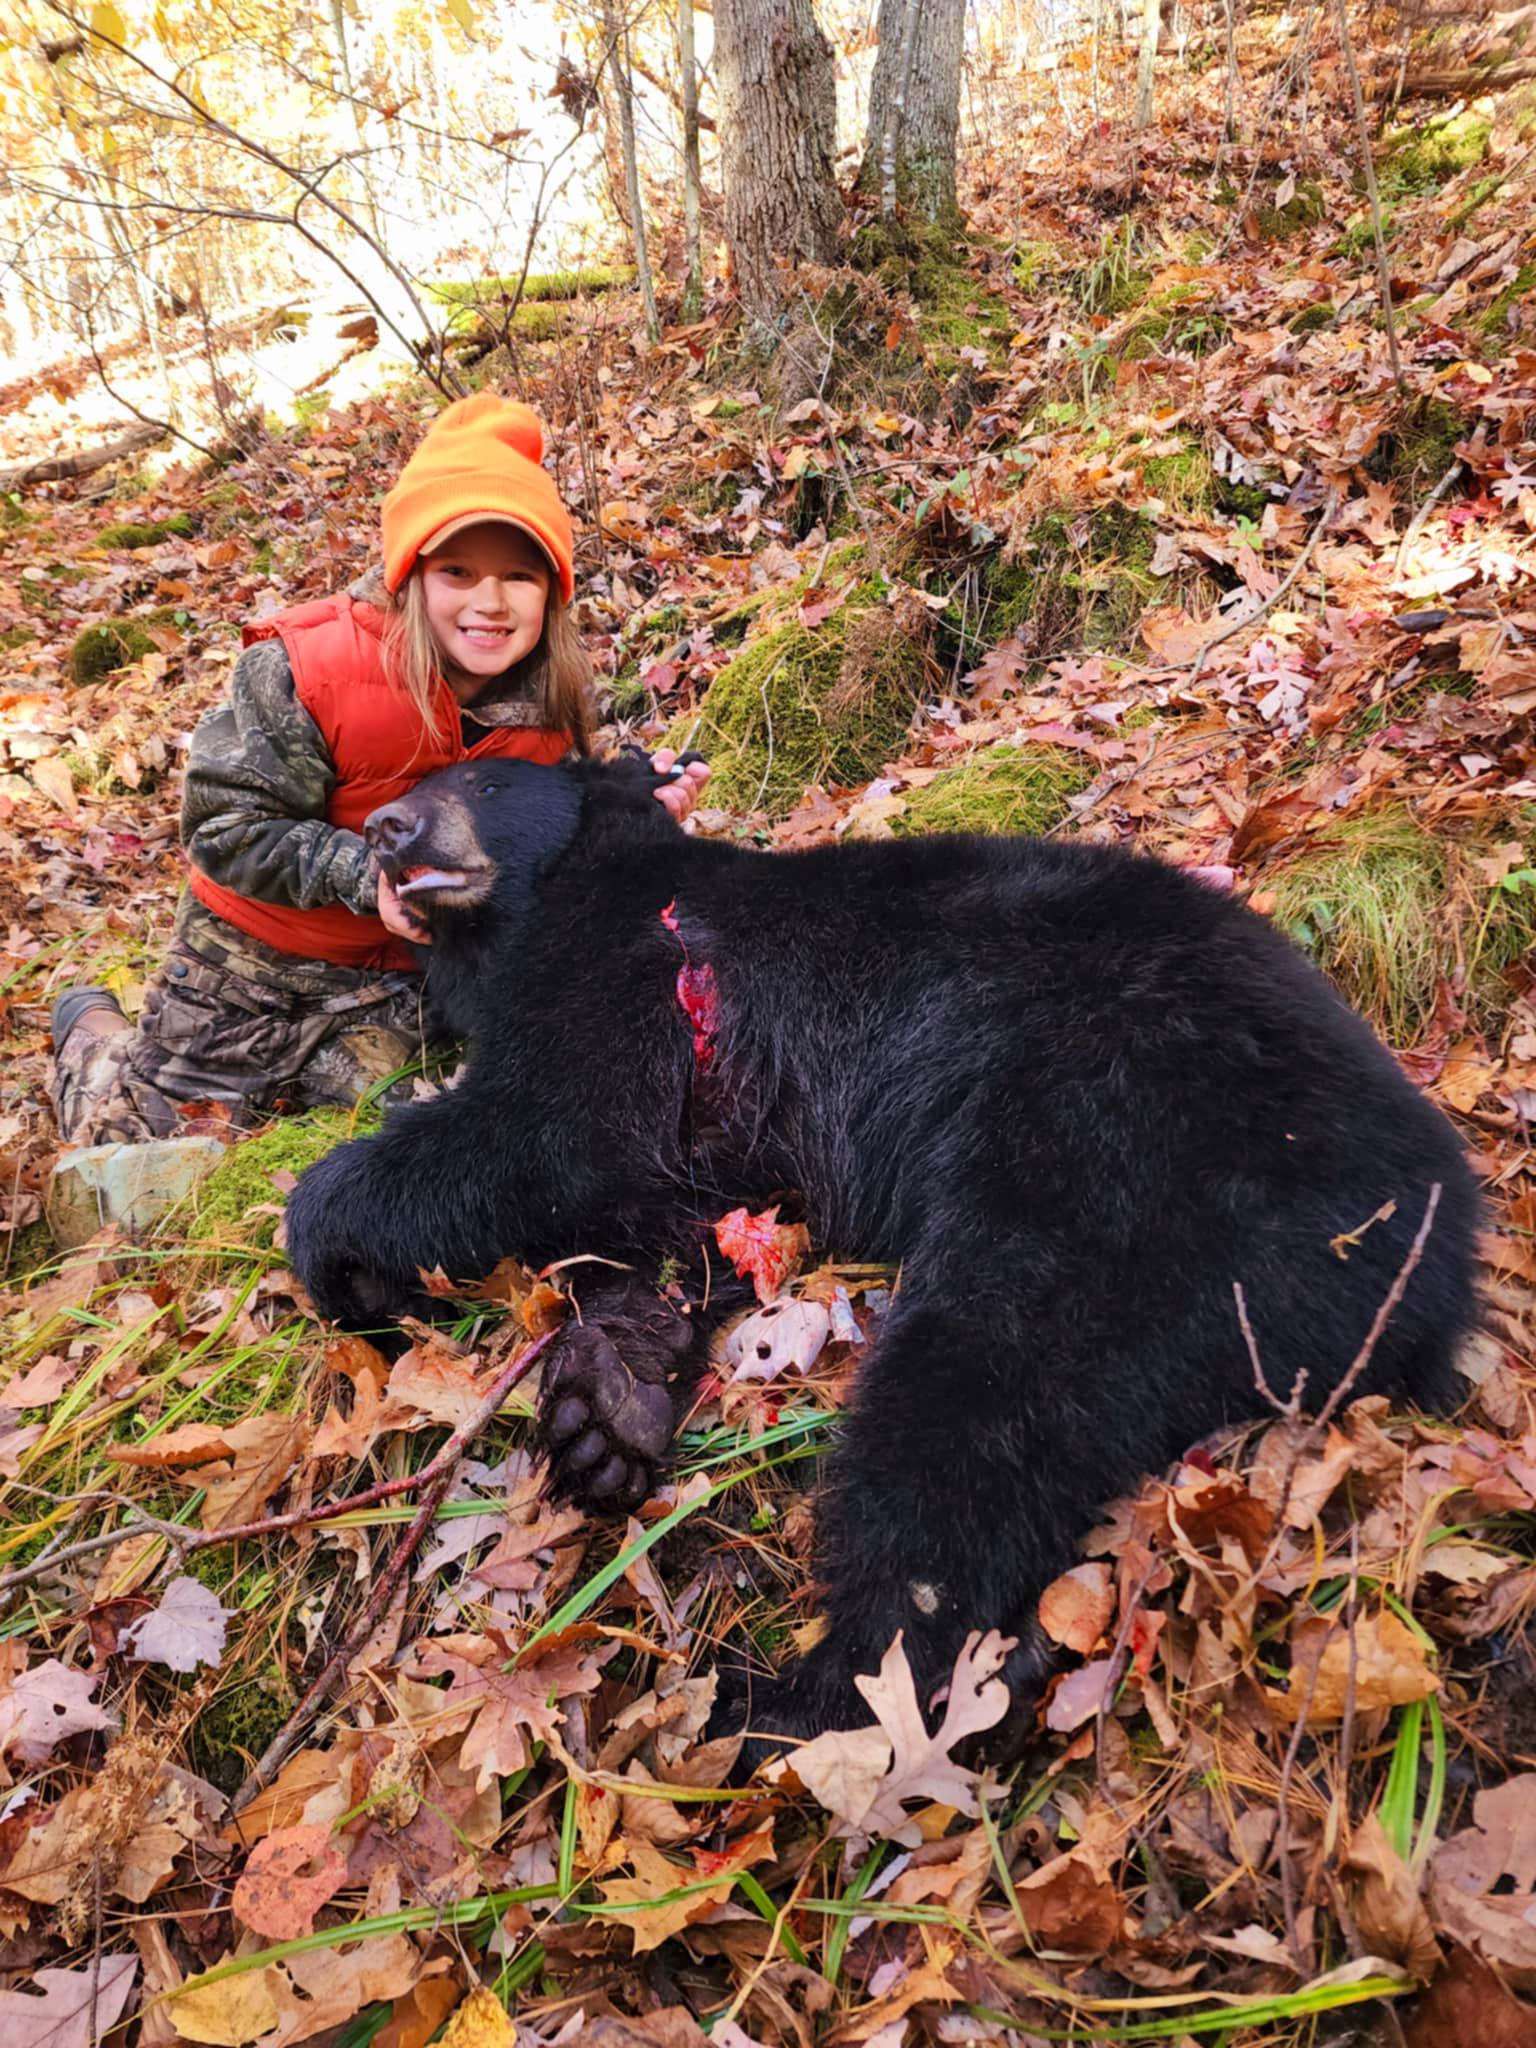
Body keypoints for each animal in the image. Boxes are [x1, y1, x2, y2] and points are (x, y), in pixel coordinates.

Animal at [282, 753, 1482, 1744]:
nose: (386, 827)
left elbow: (546, 1126)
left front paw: (330, 1231)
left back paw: (793, 1696)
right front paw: (604, 1409)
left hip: (1114, 1163)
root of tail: (1441, 1253)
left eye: (484, 780)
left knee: (973, 1414)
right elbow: (669, 1230)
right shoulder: (716, 1139)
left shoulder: (628, 983)